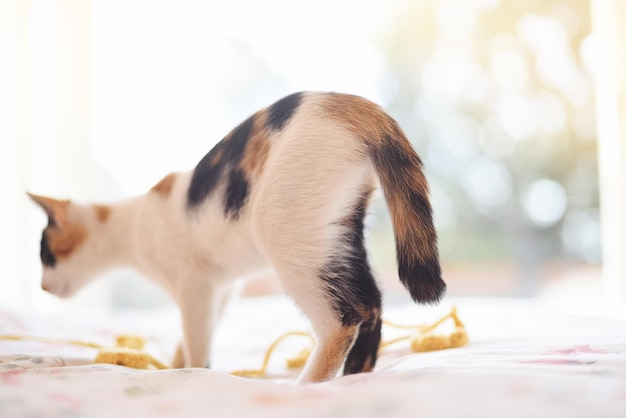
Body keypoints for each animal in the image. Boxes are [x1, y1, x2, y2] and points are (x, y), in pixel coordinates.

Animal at [29, 91, 444, 382]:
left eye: (46, 257)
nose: (43, 286)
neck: (131, 225)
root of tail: (350, 103)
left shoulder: (194, 285)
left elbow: (197, 337)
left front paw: (190, 372)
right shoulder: (221, 287)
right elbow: (198, 331)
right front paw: (173, 361)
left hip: (286, 233)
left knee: (343, 319)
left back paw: (308, 386)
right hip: (338, 237)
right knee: (371, 301)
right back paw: (355, 375)